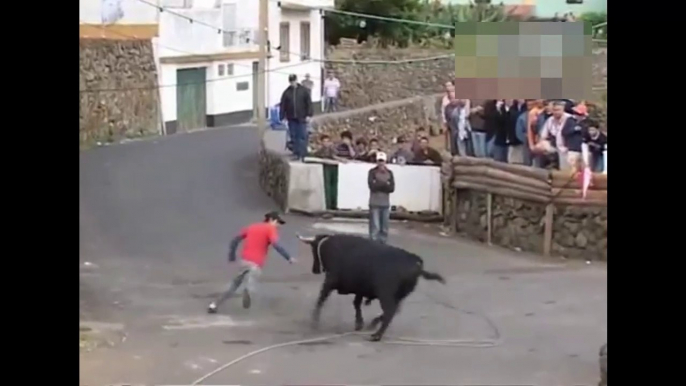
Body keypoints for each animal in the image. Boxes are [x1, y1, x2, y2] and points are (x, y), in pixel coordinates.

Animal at [298, 232, 448, 340]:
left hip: (386, 294)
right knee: (394, 310)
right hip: (398, 295)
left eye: (312, 249)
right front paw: (359, 323)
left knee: (390, 312)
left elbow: (321, 299)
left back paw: (377, 335)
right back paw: (374, 324)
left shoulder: (330, 281)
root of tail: (416, 263)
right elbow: (356, 303)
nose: (314, 270)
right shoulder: (360, 288)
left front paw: (314, 321)